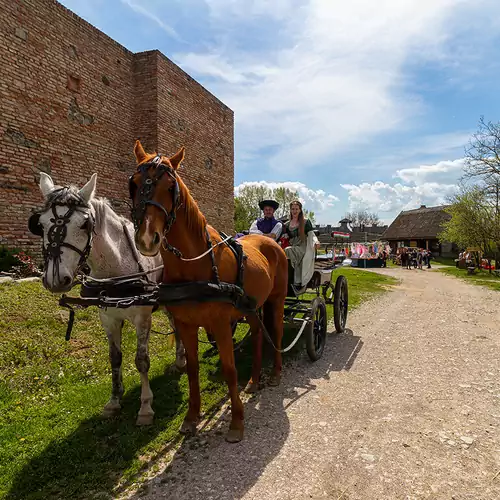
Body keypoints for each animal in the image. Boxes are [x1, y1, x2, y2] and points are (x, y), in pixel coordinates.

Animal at [31, 173, 188, 426]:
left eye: (85, 224)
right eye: (41, 224)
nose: (56, 279)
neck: (116, 268)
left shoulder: (142, 318)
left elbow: (141, 360)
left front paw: (145, 406)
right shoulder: (108, 319)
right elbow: (114, 358)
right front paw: (114, 400)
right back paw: (180, 361)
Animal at [129, 140, 288, 442]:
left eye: (170, 186)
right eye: (133, 183)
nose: (146, 238)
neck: (195, 266)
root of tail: (270, 242)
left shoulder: (221, 324)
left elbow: (229, 369)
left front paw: (236, 421)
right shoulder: (186, 324)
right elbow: (192, 369)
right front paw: (192, 417)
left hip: (277, 301)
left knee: (275, 332)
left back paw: (275, 373)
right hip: (252, 307)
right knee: (258, 335)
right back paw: (253, 381)